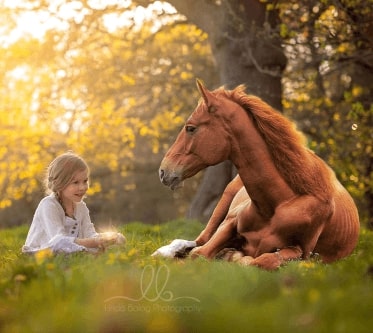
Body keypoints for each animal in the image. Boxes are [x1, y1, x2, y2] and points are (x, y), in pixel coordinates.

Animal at [155, 80, 358, 270]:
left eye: (190, 128)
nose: (163, 171)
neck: (277, 204)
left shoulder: (302, 252)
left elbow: (262, 261)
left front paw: (233, 256)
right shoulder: (228, 224)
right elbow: (199, 253)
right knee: (196, 241)